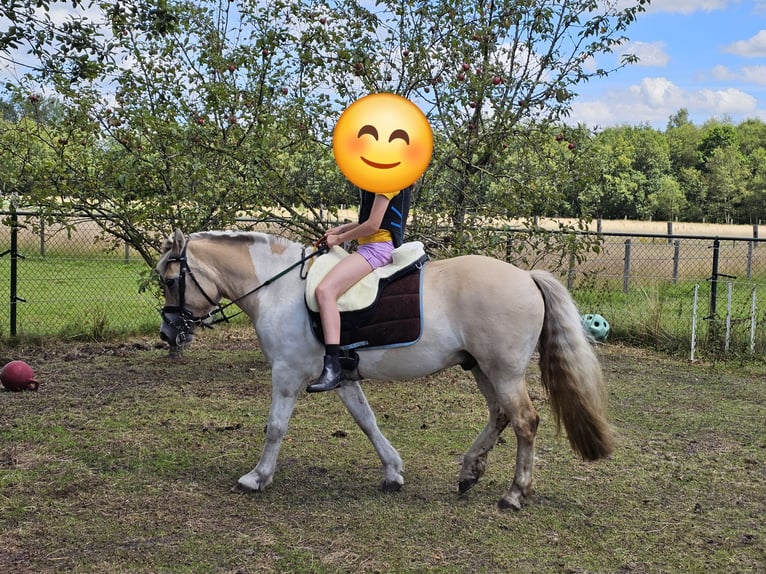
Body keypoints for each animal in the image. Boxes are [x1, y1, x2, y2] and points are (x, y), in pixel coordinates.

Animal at [156, 229, 615, 510]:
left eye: (170, 280)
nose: (167, 332)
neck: (280, 288)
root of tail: (525, 276)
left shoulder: (286, 374)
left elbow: (275, 428)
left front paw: (256, 477)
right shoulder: (341, 377)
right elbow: (366, 420)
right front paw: (393, 472)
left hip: (503, 371)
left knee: (524, 421)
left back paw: (515, 494)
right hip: (482, 369)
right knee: (500, 415)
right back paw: (469, 472)